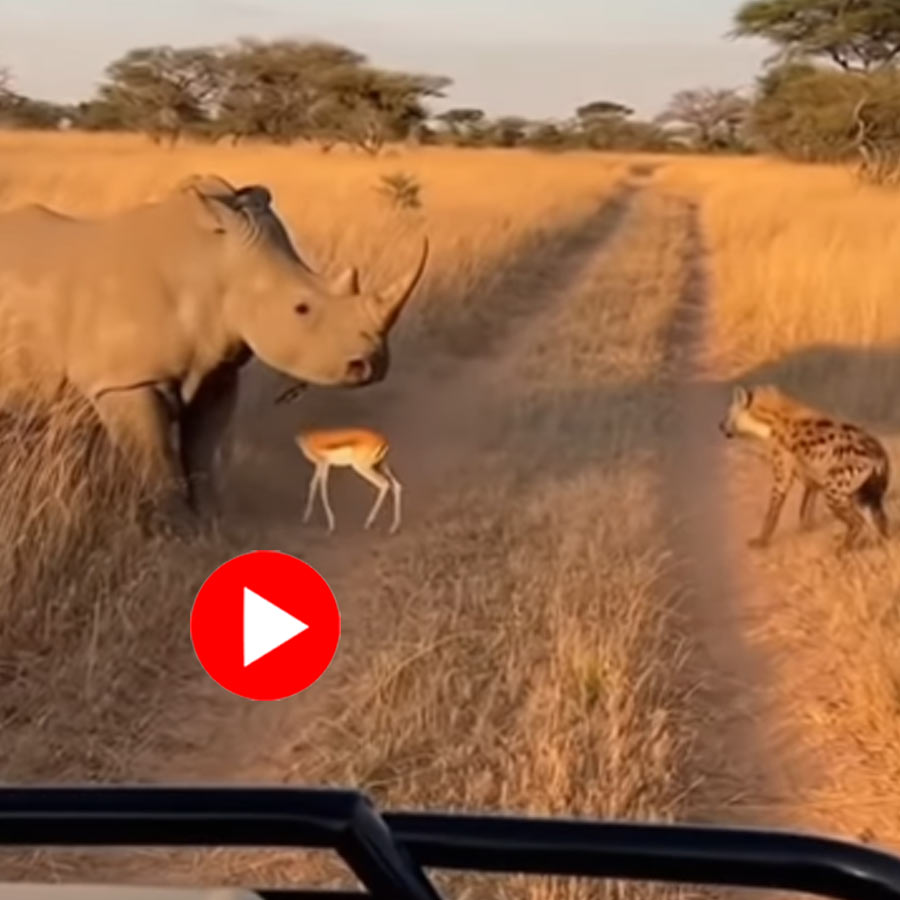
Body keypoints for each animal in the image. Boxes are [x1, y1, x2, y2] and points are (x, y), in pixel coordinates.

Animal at [0, 173, 429, 526]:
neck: (216, 265)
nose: (372, 365)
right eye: (301, 309)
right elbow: (158, 461)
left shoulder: (217, 371)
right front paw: (175, 535)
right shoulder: (128, 381)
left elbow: (202, 451)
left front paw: (212, 527)